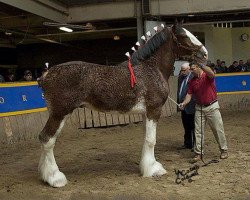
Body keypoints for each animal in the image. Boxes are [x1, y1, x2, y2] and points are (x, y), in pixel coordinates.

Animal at [38, 22, 208, 188]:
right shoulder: (154, 110)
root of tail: (46, 75)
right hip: (59, 113)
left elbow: (146, 139)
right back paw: (55, 178)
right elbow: (151, 140)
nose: (205, 54)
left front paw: (146, 167)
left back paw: (45, 175)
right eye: (184, 36)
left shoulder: (146, 113)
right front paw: (154, 169)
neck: (151, 68)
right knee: (47, 139)